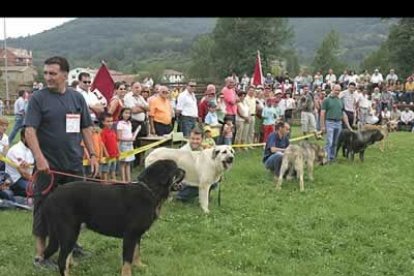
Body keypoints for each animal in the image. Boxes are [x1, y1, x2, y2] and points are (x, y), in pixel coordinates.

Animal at [41, 160, 184, 276]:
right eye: (176, 169)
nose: (184, 170)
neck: (150, 190)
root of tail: (51, 197)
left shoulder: (137, 234)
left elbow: (137, 252)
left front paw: (139, 266)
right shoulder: (130, 235)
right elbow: (127, 260)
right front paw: (127, 273)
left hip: (73, 230)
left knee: (67, 255)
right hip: (68, 230)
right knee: (61, 260)